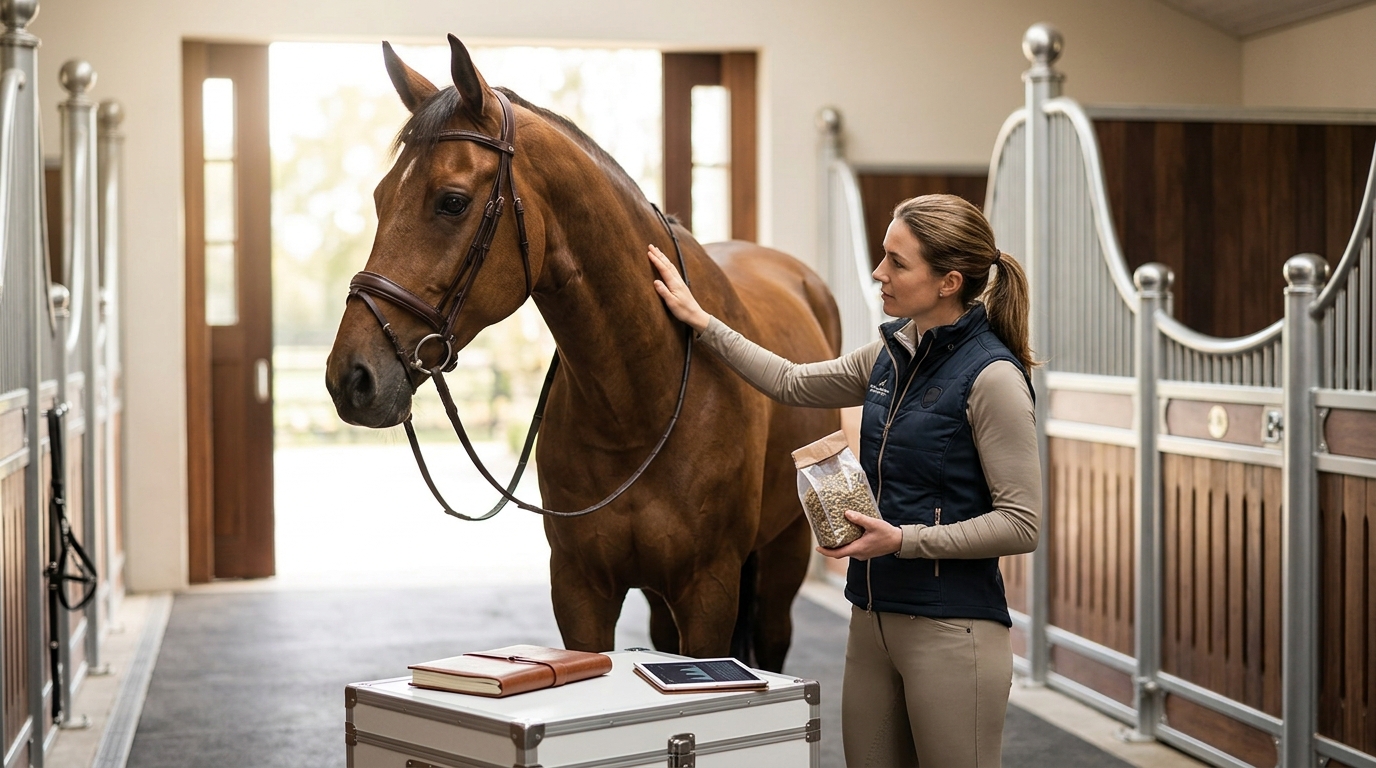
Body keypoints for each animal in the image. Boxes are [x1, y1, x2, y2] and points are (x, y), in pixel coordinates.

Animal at [325, 35, 841, 672]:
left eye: (451, 202)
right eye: (379, 198)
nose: (351, 378)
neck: (640, 401)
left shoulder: (709, 590)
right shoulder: (580, 590)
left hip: (785, 552)